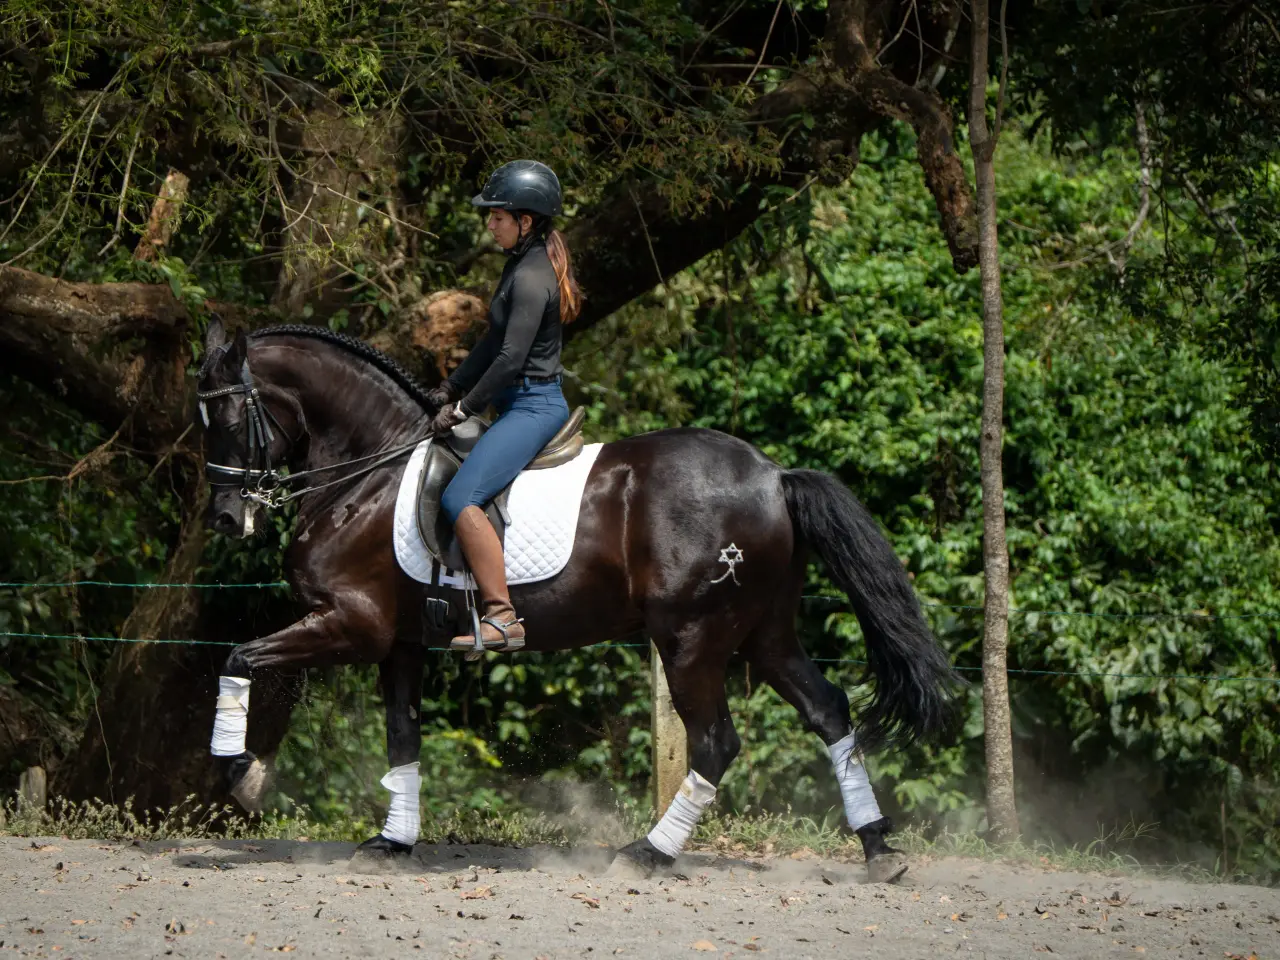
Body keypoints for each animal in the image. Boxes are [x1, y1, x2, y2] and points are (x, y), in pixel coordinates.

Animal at [194, 315, 959, 883]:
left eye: (227, 417)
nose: (227, 518)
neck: (370, 474)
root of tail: (773, 476)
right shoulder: (402, 643)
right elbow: (402, 736)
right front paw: (393, 843)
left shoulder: (353, 624)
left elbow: (238, 658)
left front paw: (242, 775)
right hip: (763, 634)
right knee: (828, 710)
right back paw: (878, 849)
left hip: (692, 639)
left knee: (716, 740)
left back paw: (648, 853)